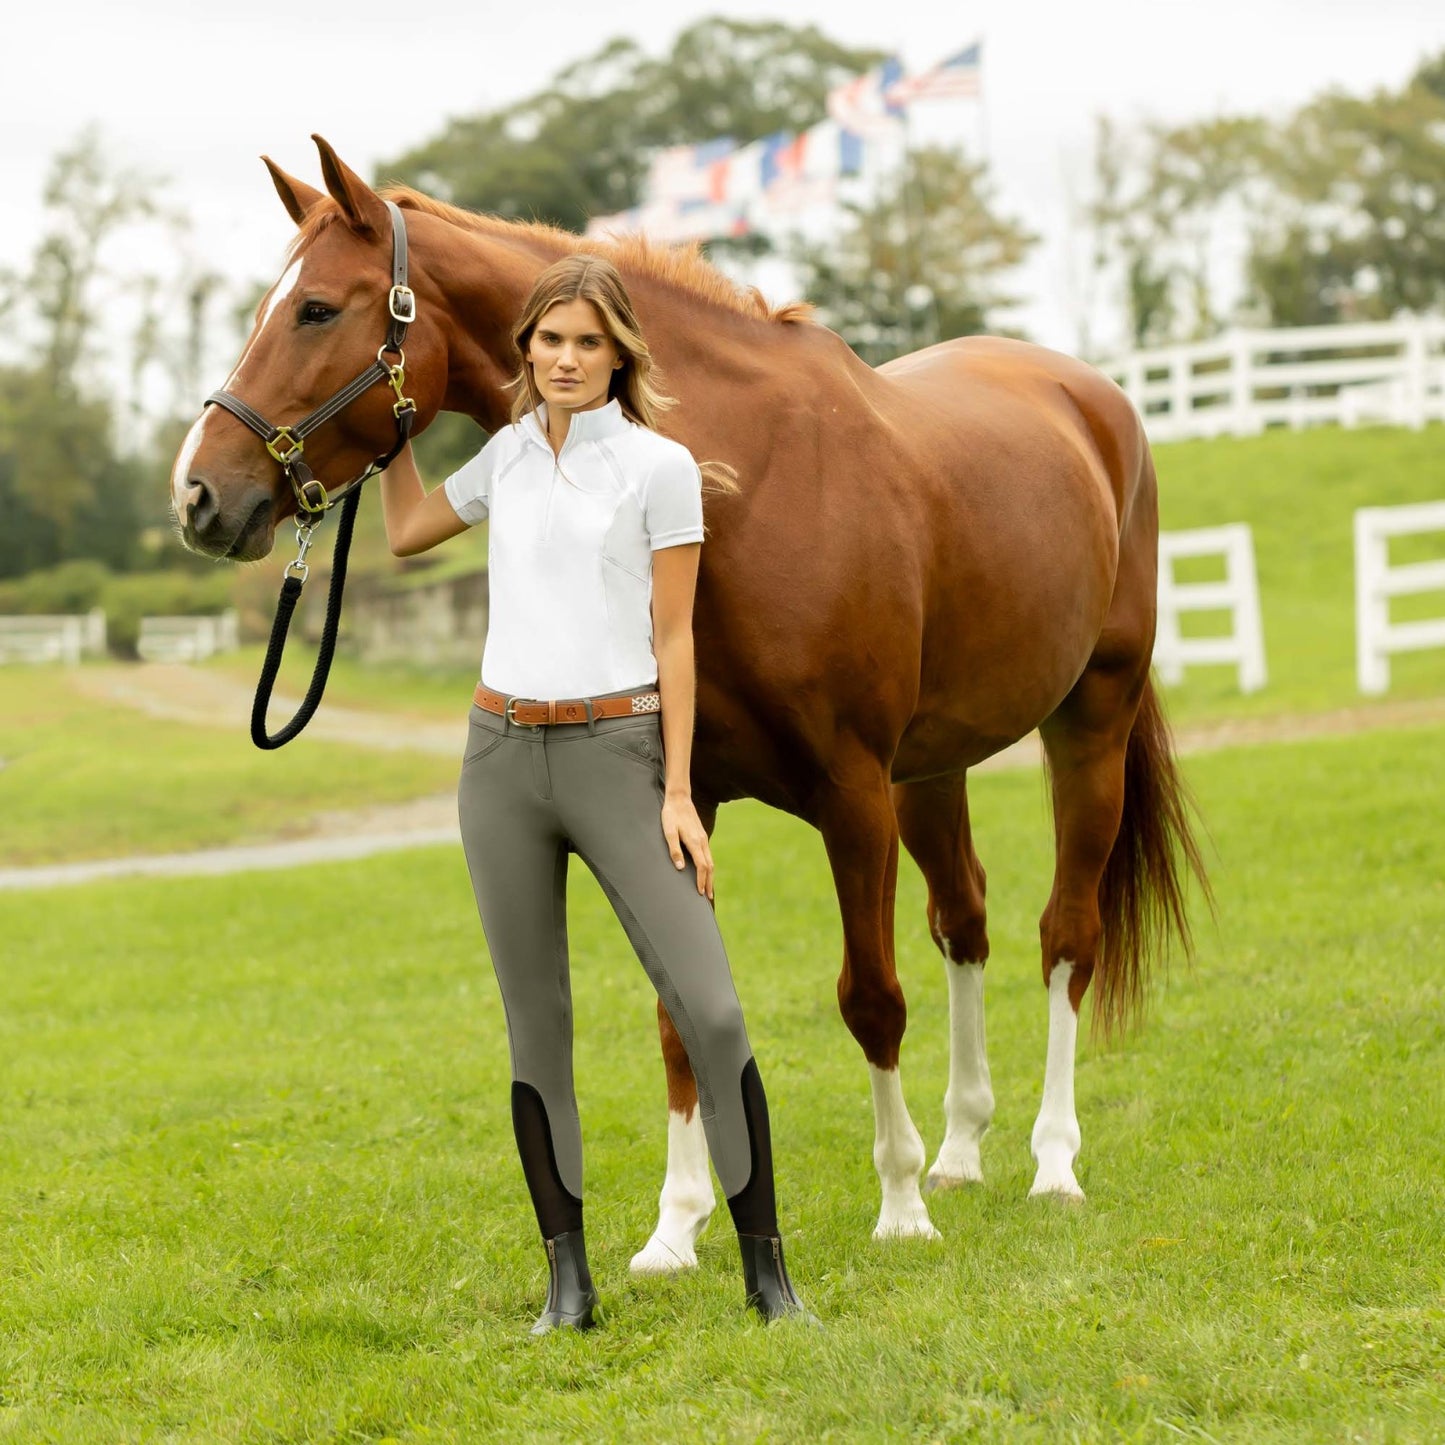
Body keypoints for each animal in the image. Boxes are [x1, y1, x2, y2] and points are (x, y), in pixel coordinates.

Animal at [171, 135, 1208, 1265]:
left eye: (316, 309)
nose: (198, 494)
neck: (743, 480)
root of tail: (1093, 400)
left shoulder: (852, 796)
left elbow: (870, 997)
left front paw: (897, 1208)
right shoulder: (682, 796)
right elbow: (678, 1010)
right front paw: (676, 1227)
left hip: (1086, 724)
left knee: (1065, 934)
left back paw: (1049, 1163)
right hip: (934, 766)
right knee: (963, 920)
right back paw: (961, 1148)